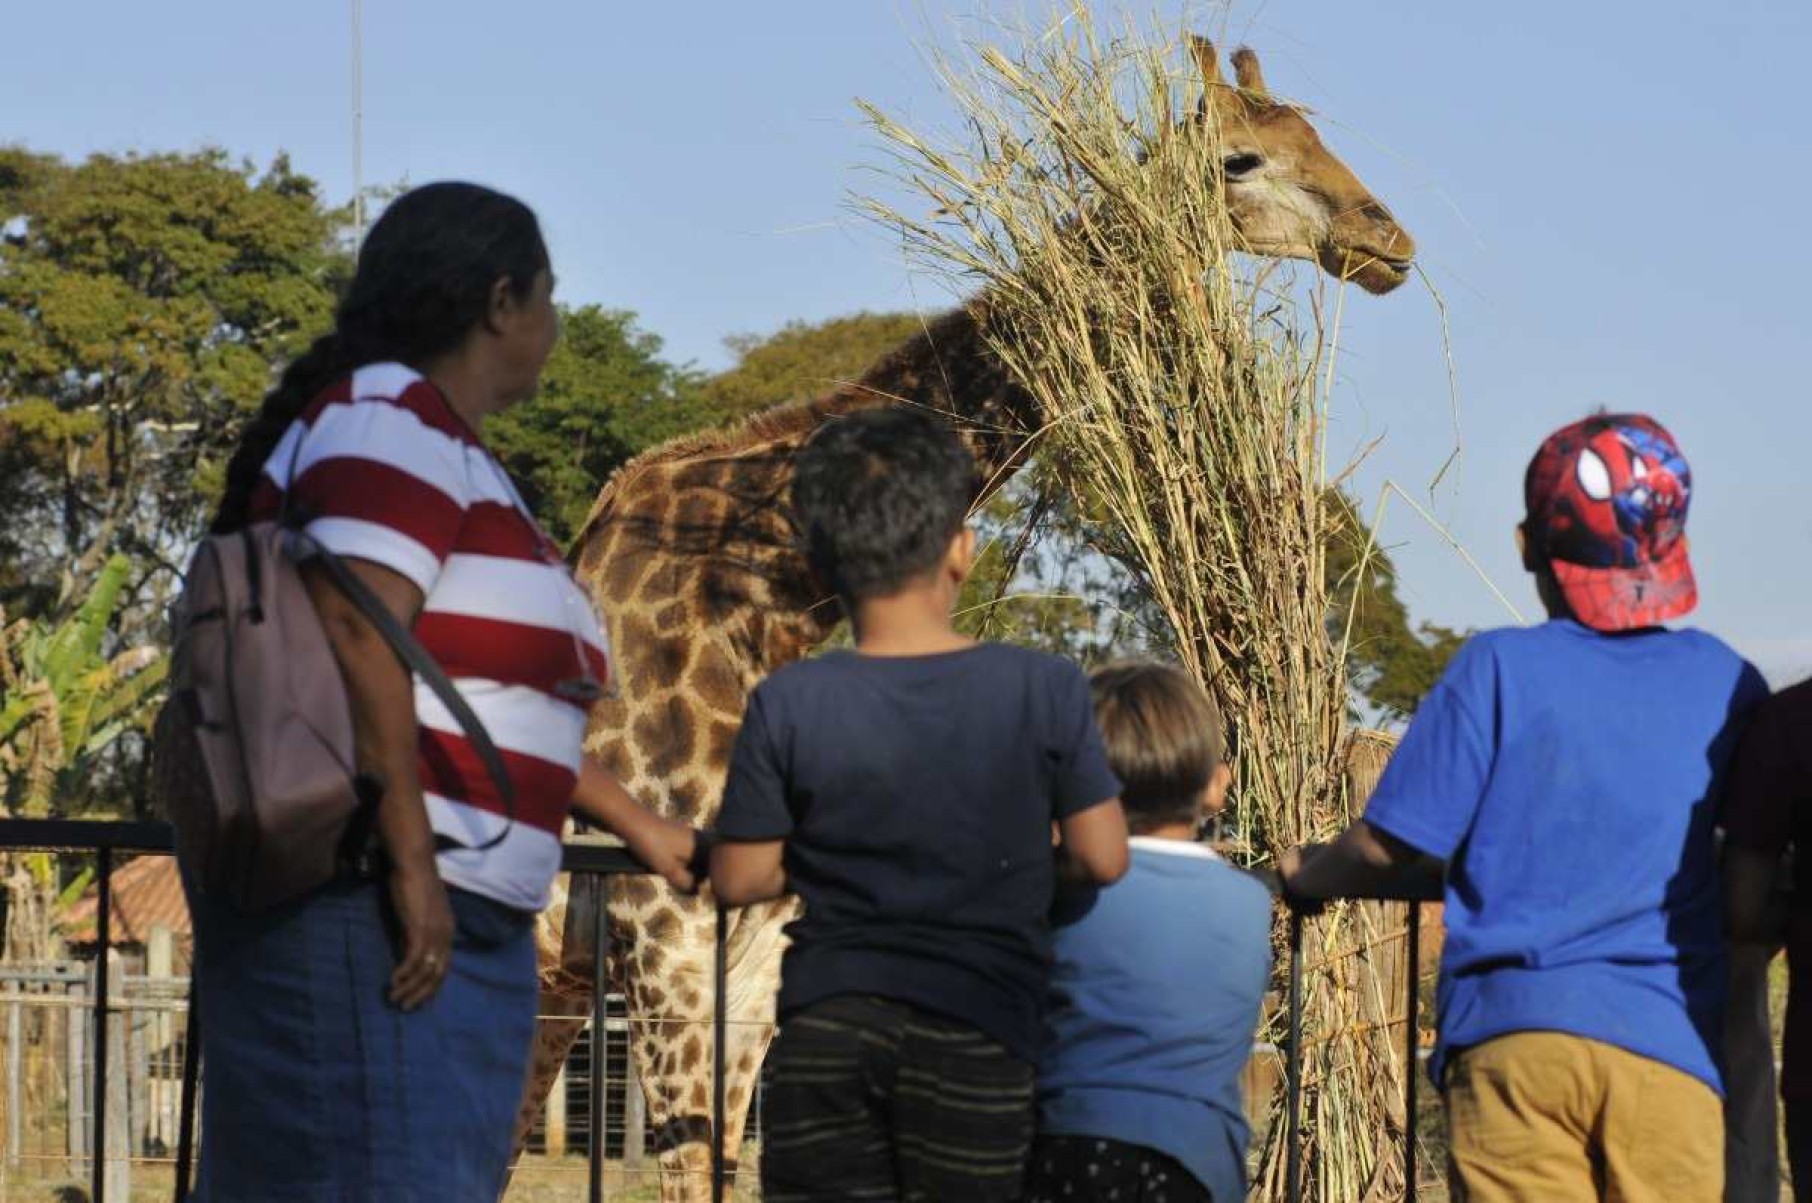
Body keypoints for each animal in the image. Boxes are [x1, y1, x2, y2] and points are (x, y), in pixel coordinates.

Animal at [510, 37, 1413, 1203]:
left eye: (1316, 135)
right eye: (1240, 159)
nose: (1387, 239)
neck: (769, 595)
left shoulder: (752, 960)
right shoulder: (665, 936)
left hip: (551, 979)